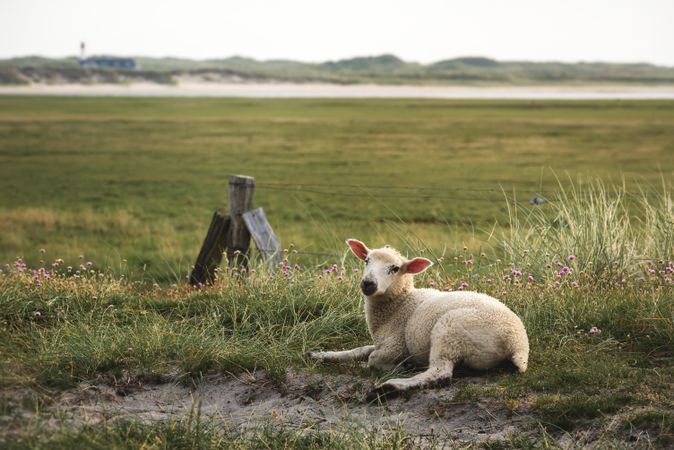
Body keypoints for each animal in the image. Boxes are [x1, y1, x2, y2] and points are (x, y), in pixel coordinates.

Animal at [308, 237, 528, 396]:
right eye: (366, 260)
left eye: (395, 268)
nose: (368, 283)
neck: (400, 305)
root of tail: (518, 344)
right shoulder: (381, 342)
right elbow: (360, 349)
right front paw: (321, 355)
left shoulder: (396, 345)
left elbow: (372, 358)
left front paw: (396, 367)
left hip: (450, 333)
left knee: (440, 373)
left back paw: (390, 387)